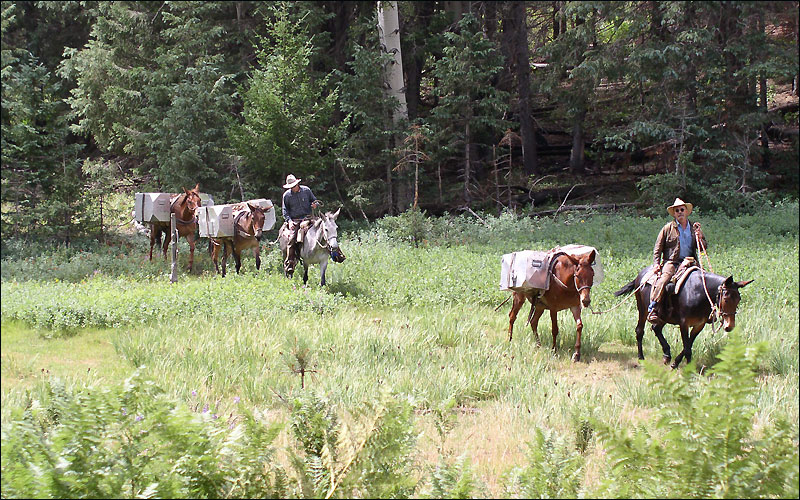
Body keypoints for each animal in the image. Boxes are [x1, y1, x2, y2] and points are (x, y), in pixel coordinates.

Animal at [616, 266, 752, 368]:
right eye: (726, 299)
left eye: (739, 299)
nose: (730, 326)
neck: (700, 292)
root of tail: (640, 274)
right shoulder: (684, 323)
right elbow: (687, 348)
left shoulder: (699, 325)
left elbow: (688, 345)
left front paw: (675, 363)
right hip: (643, 309)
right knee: (640, 331)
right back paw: (641, 357)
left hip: (664, 316)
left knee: (656, 328)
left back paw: (667, 355)